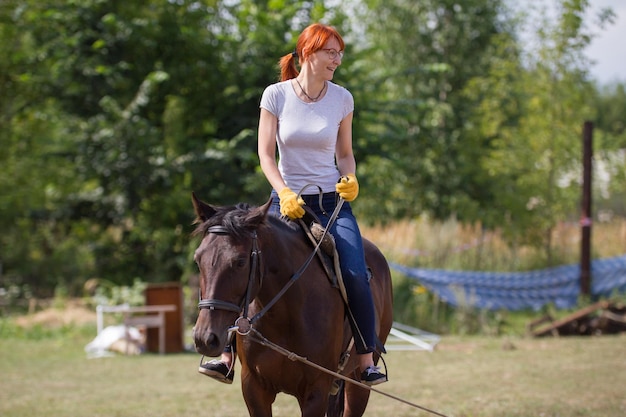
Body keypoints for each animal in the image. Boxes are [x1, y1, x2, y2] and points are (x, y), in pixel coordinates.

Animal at [191, 194, 390, 416]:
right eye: (198, 259)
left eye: (240, 261)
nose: (204, 338)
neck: (284, 316)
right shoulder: (253, 388)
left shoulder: (316, 391)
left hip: (357, 385)